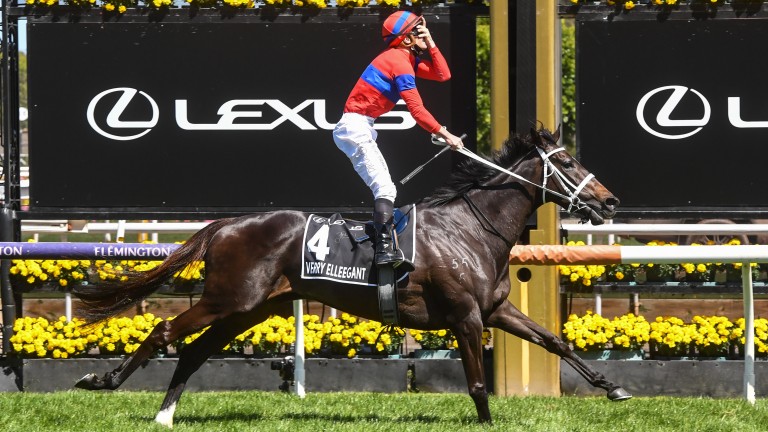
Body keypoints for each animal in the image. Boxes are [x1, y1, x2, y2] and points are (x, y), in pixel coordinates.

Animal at [75, 125, 632, 428]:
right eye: (565, 160)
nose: (609, 202)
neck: (470, 228)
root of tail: (229, 224)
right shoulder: (466, 317)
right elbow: (476, 383)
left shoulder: (495, 308)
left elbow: (554, 341)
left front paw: (612, 387)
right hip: (229, 300)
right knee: (165, 330)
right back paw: (102, 380)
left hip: (250, 308)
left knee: (193, 351)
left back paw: (165, 414)